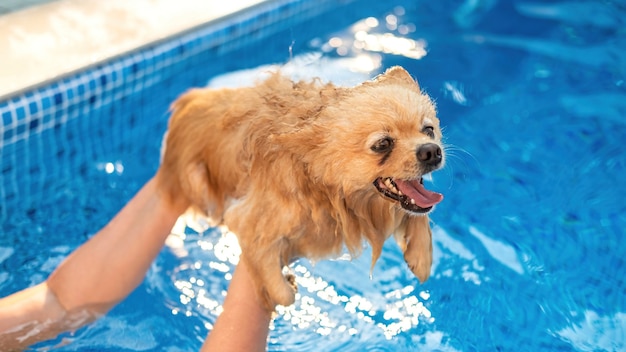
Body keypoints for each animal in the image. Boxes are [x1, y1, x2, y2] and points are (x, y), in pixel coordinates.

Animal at [156, 66, 444, 310]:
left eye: (429, 130)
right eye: (383, 144)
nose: (431, 151)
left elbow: (419, 215)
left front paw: (421, 256)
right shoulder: (250, 220)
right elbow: (277, 285)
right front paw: (284, 288)